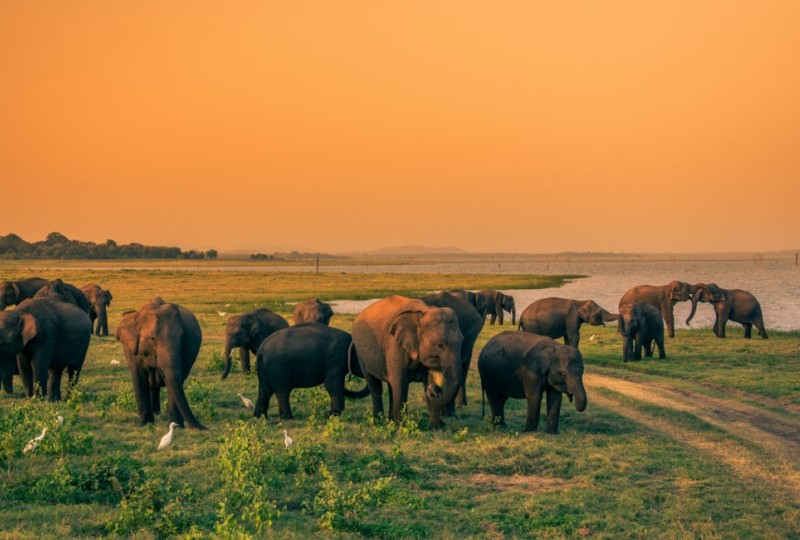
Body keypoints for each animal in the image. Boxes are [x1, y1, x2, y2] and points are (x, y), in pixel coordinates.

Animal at [115, 298, 206, 429]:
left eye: (182, 337)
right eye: (153, 338)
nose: (205, 428)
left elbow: (175, 380)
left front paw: (176, 426)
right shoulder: (131, 350)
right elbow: (139, 378)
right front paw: (147, 424)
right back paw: (156, 414)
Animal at [351, 295, 463, 429]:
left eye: (462, 341)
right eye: (440, 345)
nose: (432, 392)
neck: (424, 312)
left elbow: (430, 378)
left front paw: (436, 428)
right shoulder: (394, 344)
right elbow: (400, 382)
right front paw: (401, 427)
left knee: (390, 385)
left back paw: (390, 421)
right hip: (361, 353)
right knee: (375, 385)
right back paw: (379, 422)